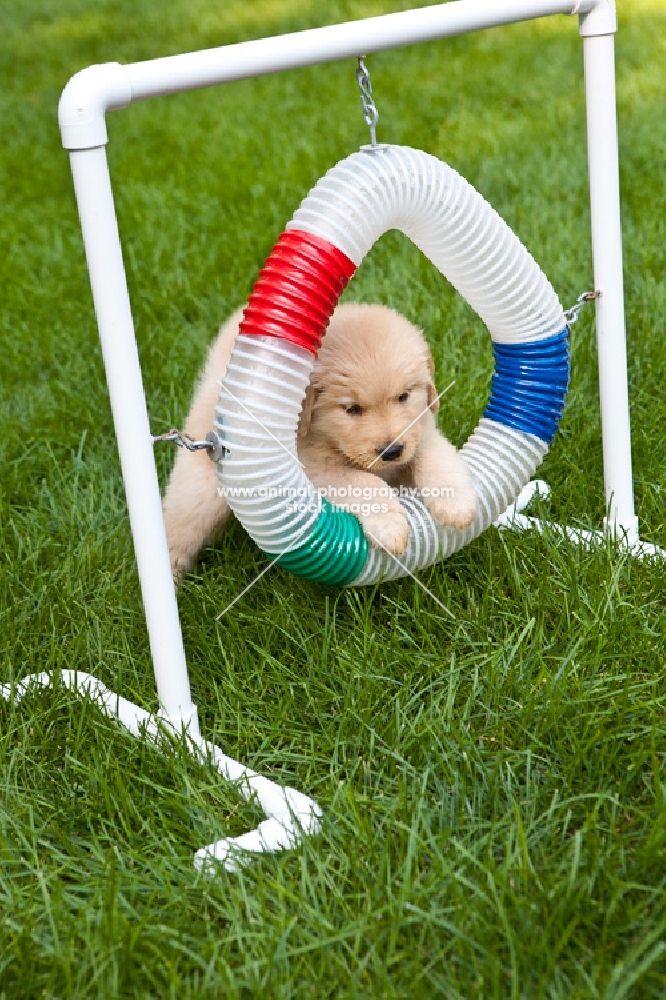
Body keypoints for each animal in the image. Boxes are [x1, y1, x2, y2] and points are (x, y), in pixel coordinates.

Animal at [163, 300, 474, 576]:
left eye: (403, 396)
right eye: (352, 409)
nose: (392, 451)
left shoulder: (423, 430)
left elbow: (435, 457)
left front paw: (457, 505)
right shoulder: (315, 467)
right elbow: (364, 482)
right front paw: (390, 526)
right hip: (202, 491)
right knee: (179, 528)